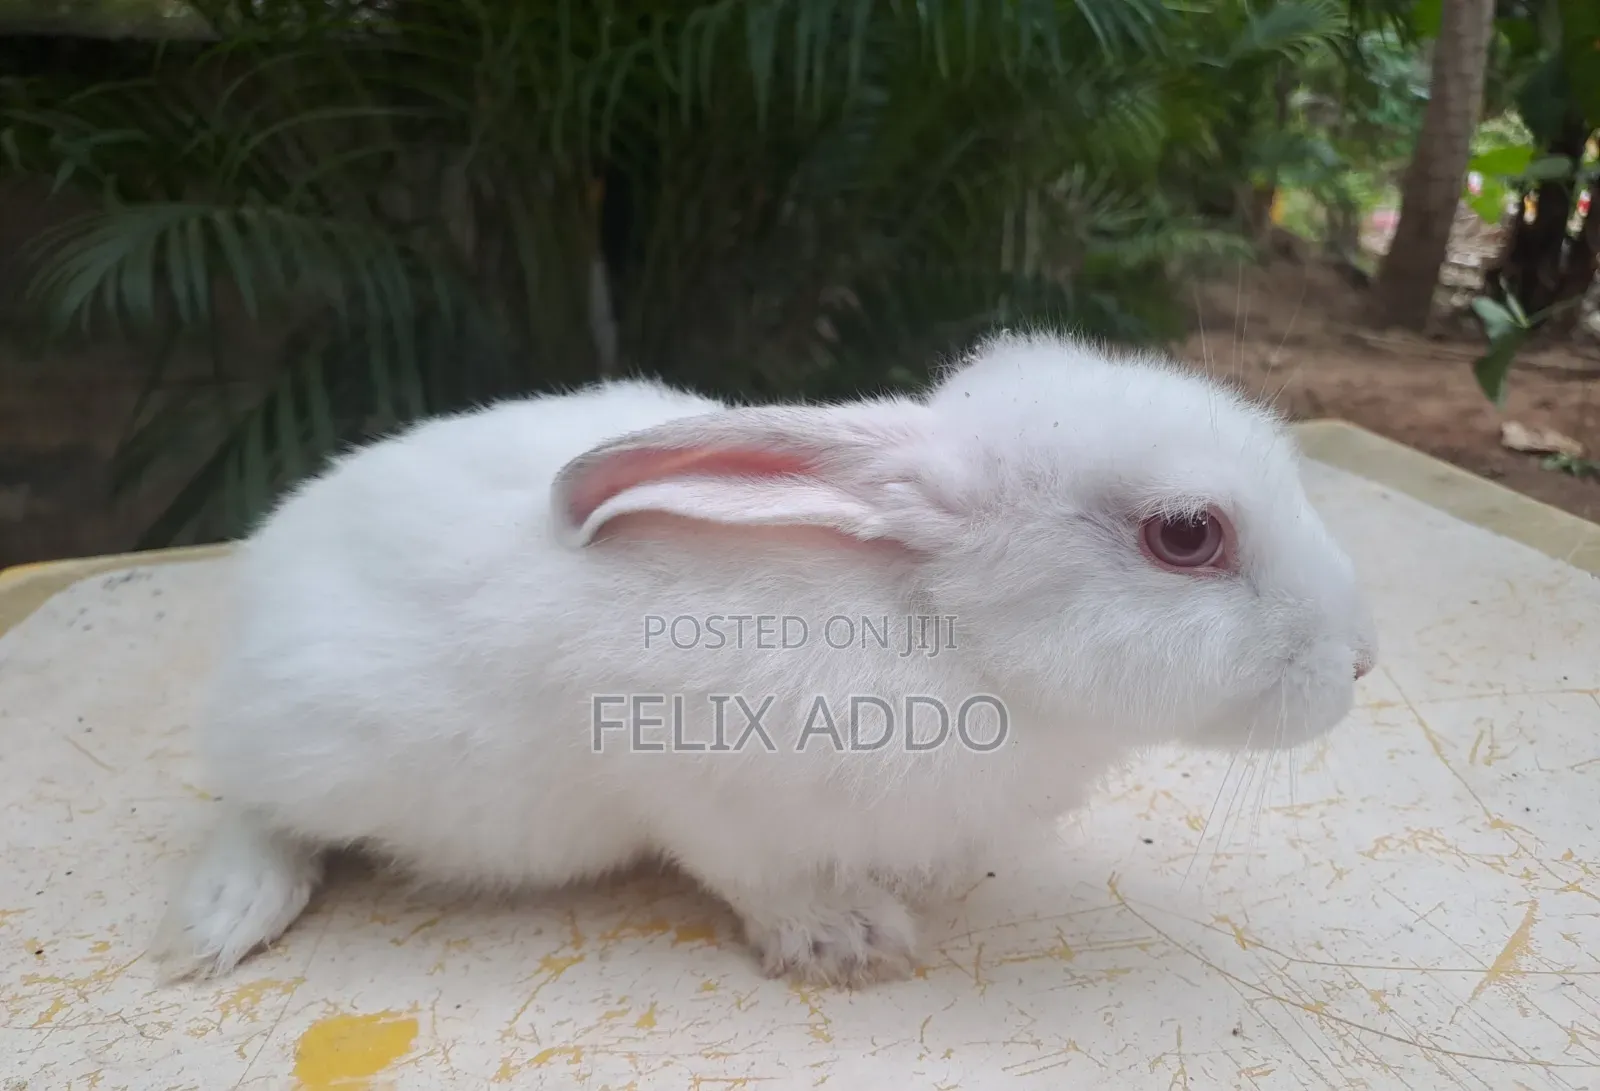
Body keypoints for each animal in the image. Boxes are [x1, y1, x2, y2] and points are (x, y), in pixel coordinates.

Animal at [151, 331, 1377, 989]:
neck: (937, 620)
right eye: (1186, 534)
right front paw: (851, 940)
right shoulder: (701, 789)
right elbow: (760, 874)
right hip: (319, 744)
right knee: (255, 810)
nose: (1362, 659)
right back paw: (222, 918)